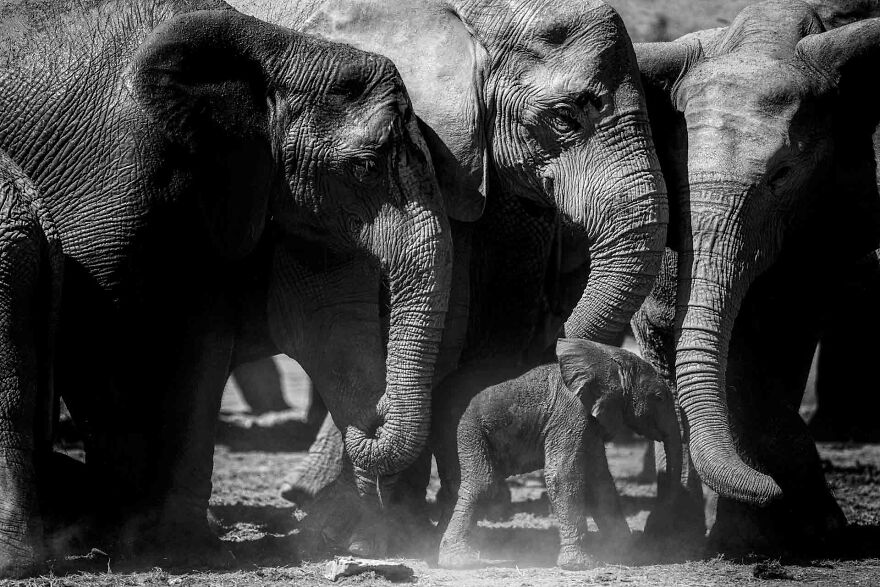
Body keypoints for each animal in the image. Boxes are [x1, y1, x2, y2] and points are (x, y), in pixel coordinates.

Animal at [0, 0, 455, 574]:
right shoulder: (103, 174)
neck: (277, 50)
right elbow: (97, 334)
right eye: (366, 167)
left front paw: (188, 546)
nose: (377, 416)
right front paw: (131, 538)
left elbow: (215, 340)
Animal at [432, 338, 682, 570]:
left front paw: (627, 553)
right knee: (483, 483)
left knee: (456, 484)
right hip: (466, 427)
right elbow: (563, 476)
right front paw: (580, 565)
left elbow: (600, 482)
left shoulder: (590, 423)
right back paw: (458, 561)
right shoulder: (571, 414)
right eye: (659, 397)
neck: (606, 357)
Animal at [609, 0, 880, 553]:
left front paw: (799, 531)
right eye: (676, 171)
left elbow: (776, 331)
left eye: (782, 176)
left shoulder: (819, 210)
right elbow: (698, 334)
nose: (770, 489)